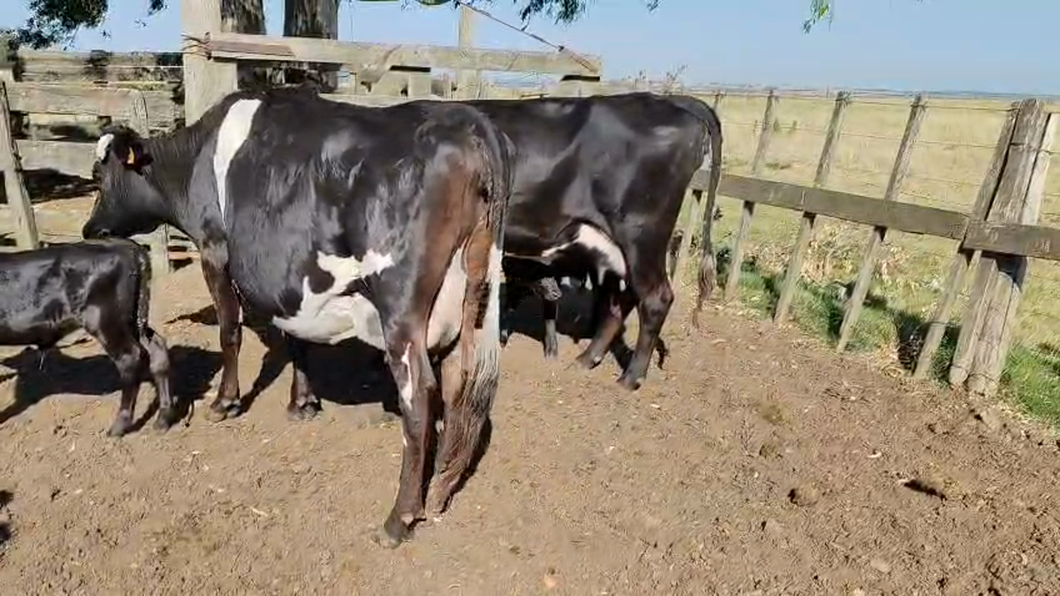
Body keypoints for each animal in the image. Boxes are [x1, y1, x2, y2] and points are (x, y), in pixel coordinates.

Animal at [0, 238, 173, 437]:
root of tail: (125, 245)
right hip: (134, 320)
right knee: (157, 348)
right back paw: (163, 419)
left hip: (104, 320)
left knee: (129, 357)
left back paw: (118, 427)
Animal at [80, 86, 514, 548]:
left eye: (99, 175)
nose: (89, 229)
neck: (195, 157)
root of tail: (467, 121)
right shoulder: (287, 278)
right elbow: (295, 336)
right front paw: (302, 401)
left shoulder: (214, 249)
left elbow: (229, 330)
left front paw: (224, 401)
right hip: (470, 294)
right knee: (458, 382)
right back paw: (441, 487)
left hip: (400, 303)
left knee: (419, 393)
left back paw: (399, 518)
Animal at [467, 92, 723, 390]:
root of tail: (668, 100)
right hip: (611, 248)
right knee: (620, 300)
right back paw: (588, 358)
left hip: (642, 236)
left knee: (656, 298)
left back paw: (631, 377)